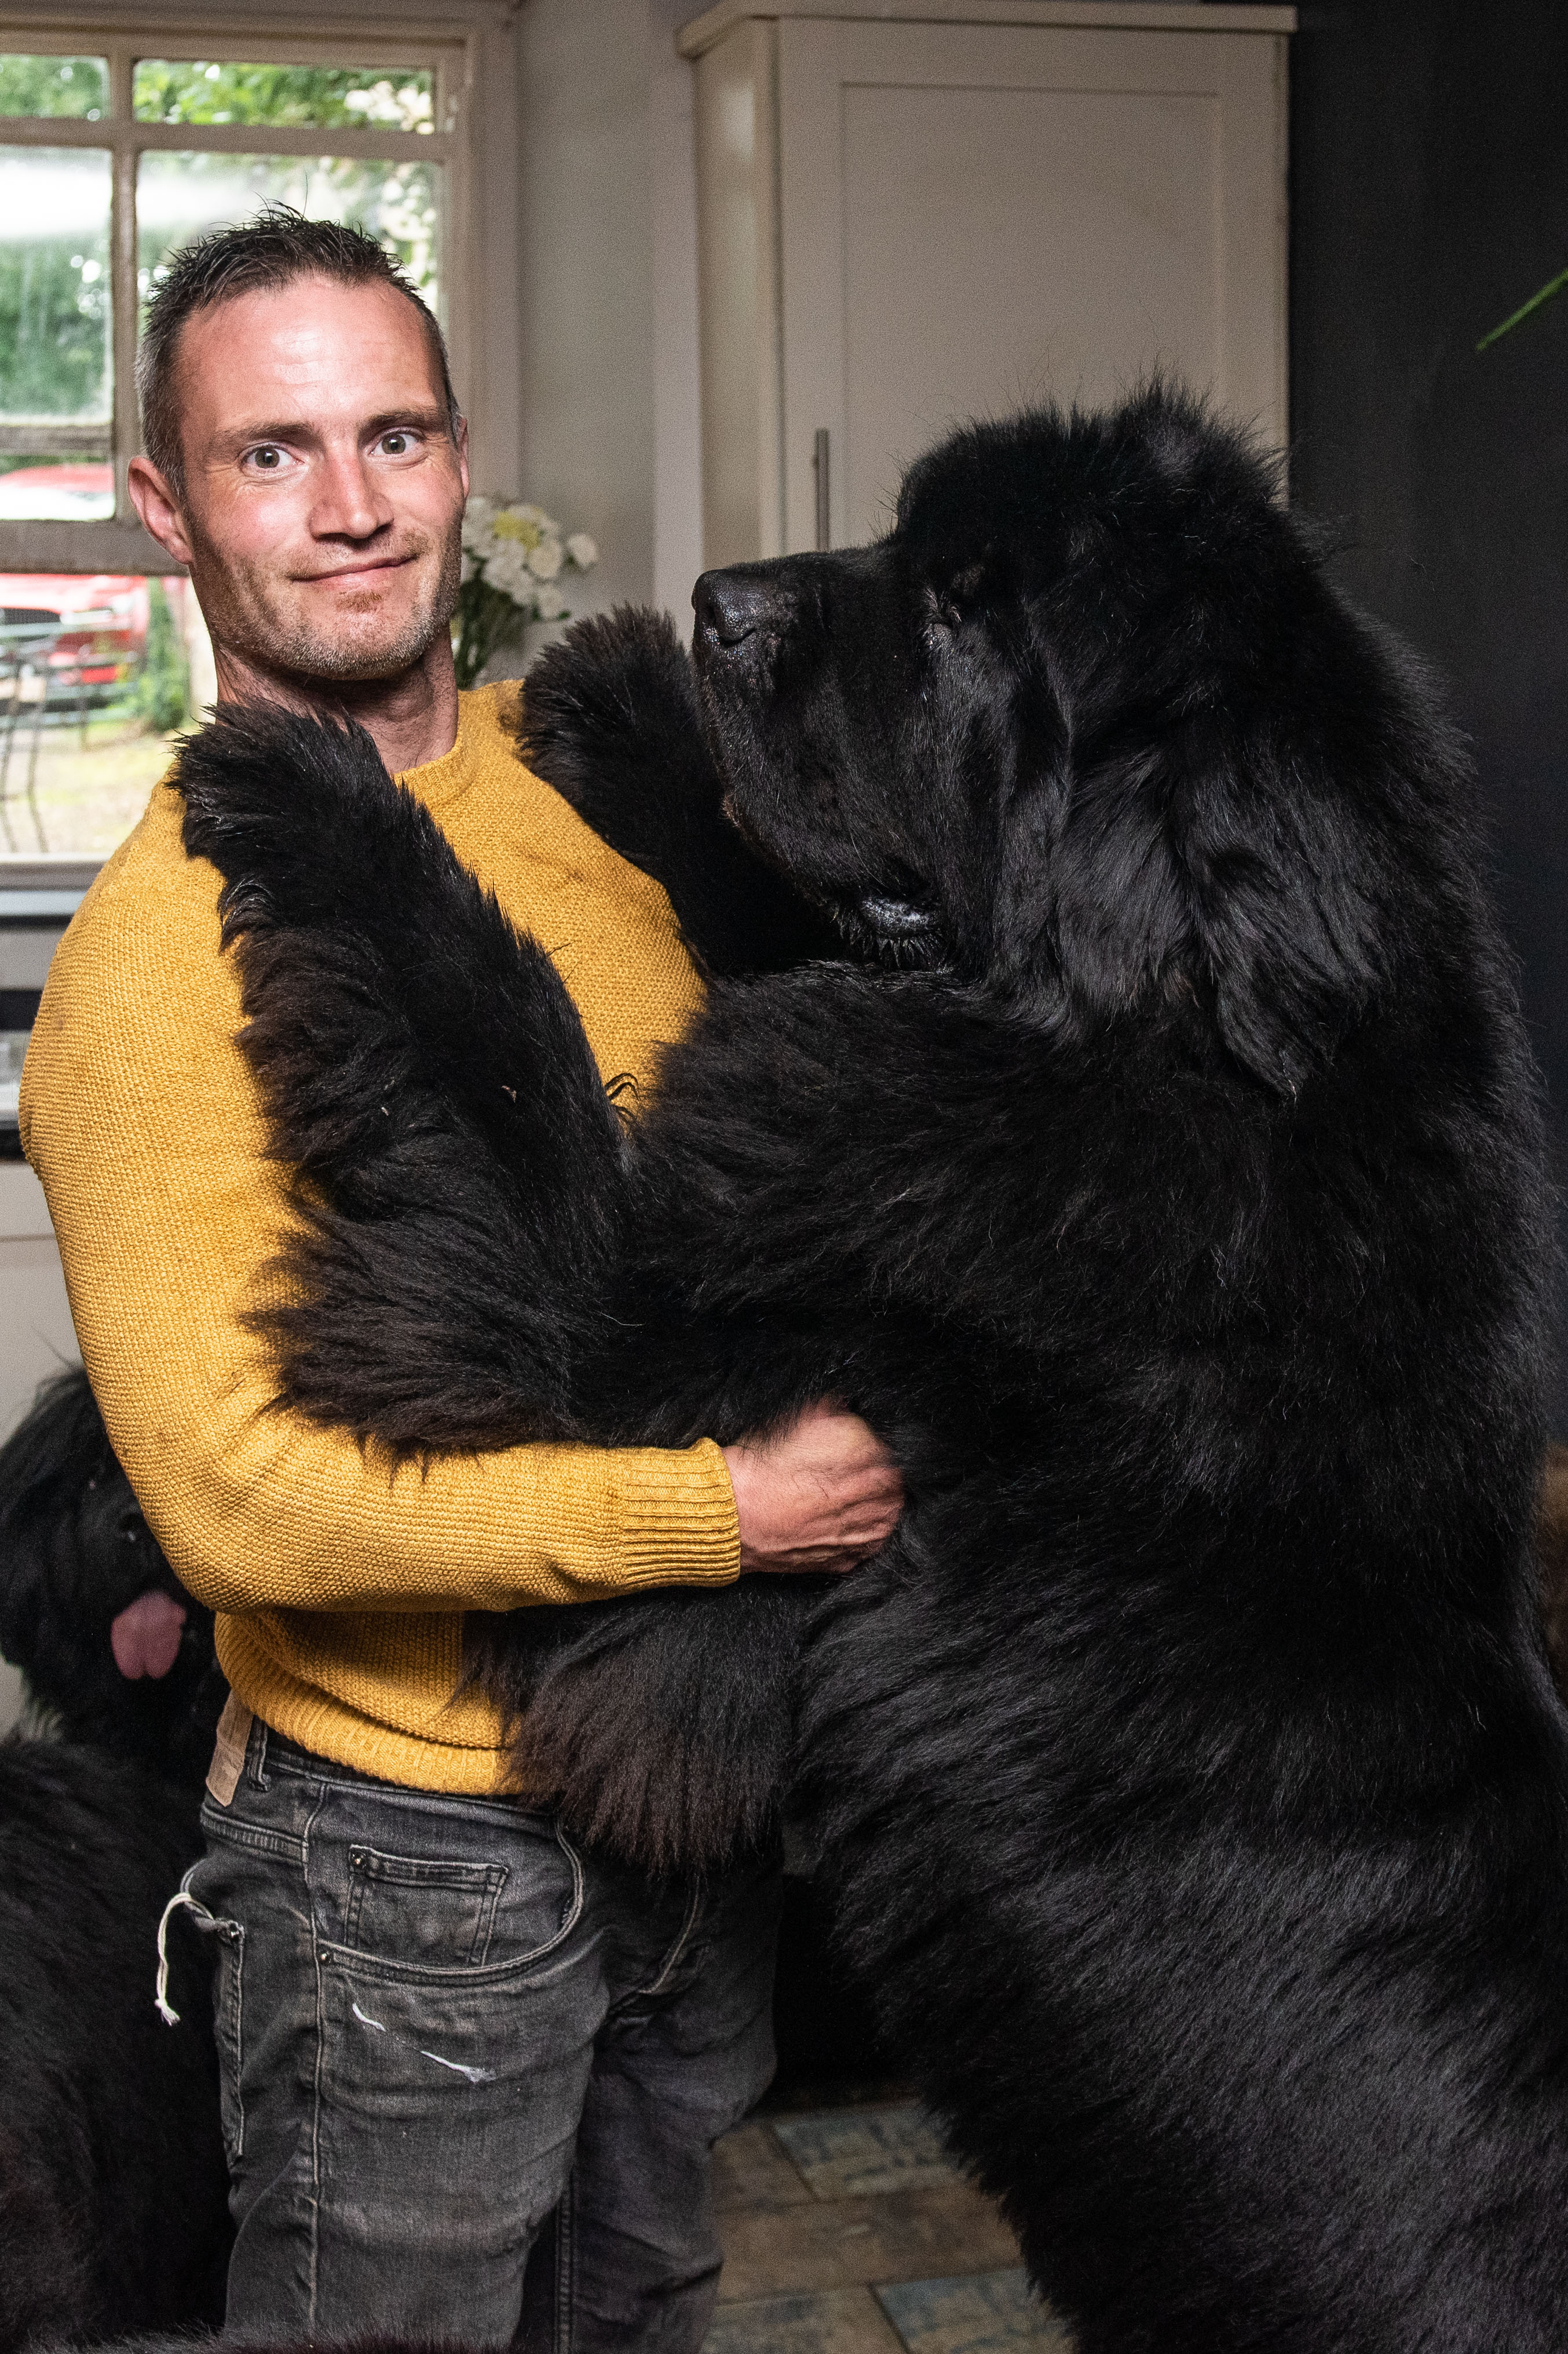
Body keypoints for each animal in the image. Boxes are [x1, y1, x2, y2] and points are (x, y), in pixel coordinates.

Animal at [174, 386, 1563, 2354]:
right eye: (910, 545)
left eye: (975, 616)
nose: (719, 601)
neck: (1175, 1046)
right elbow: (752, 911)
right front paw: (618, 711)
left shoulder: (638, 1335)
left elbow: (503, 1044)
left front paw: (311, 788)